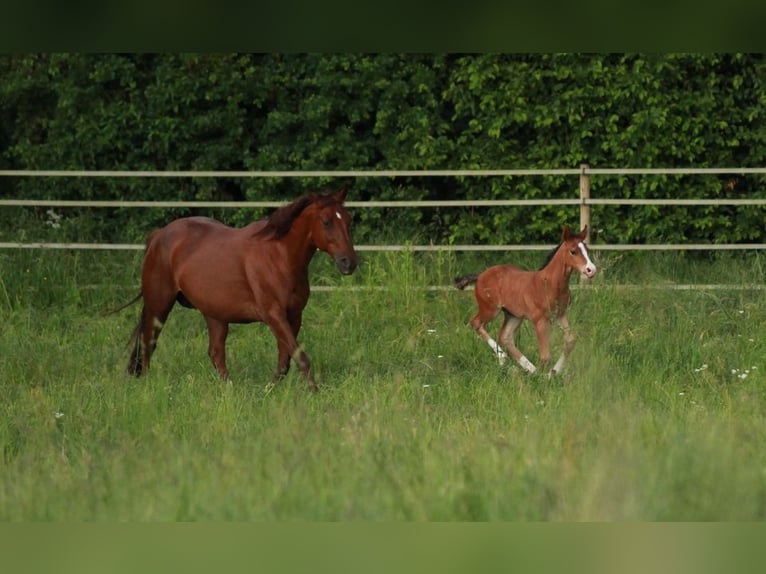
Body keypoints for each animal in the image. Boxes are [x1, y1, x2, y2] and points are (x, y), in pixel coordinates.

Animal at [117, 190, 357, 391]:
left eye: (348, 220)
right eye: (326, 221)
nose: (349, 262)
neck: (280, 256)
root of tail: (158, 236)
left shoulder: (294, 316)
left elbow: (285, 361)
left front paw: (267, 390)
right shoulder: (274, 315)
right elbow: (300, 357)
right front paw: (315, 393)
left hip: (215, 315)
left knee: (215, 353)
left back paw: (230, 390)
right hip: (159, 306)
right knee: (148, 344)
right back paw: (147, 386)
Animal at [454, 225, 596, 377]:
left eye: (587, 250)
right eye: (573, 251)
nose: (591, 270)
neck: (550, 284)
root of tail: (480, 275)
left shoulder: (560, 314)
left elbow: (570, 341)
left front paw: (553, 373)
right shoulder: (540, 320)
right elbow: (546, 356)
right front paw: (546, 377)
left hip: (513, 315)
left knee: (505, 337)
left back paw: (530, 370)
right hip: (490, 309)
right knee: (476, 323)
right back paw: (504, 358)